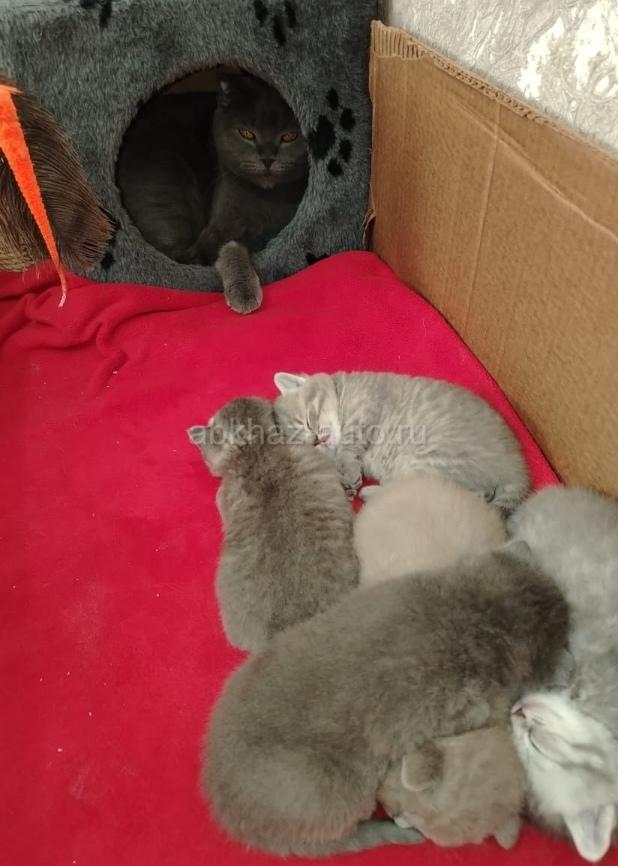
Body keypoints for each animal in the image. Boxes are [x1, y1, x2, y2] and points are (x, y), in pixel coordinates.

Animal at [118, 72, 308, 313]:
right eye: (246, 134)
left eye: (290, 136)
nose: (267, 159)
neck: (265, 199)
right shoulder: (218, 227)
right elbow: (229, 247)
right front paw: (244, 293)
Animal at [273, 371, 529, 509]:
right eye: (309, 445)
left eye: (309, 420)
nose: (317, 440)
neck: (343, 393)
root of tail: (518, 469)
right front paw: (344, 480)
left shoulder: (366, 410)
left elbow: (349, 444)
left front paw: (349, 470)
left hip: (431, 459)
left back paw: (369, 493)